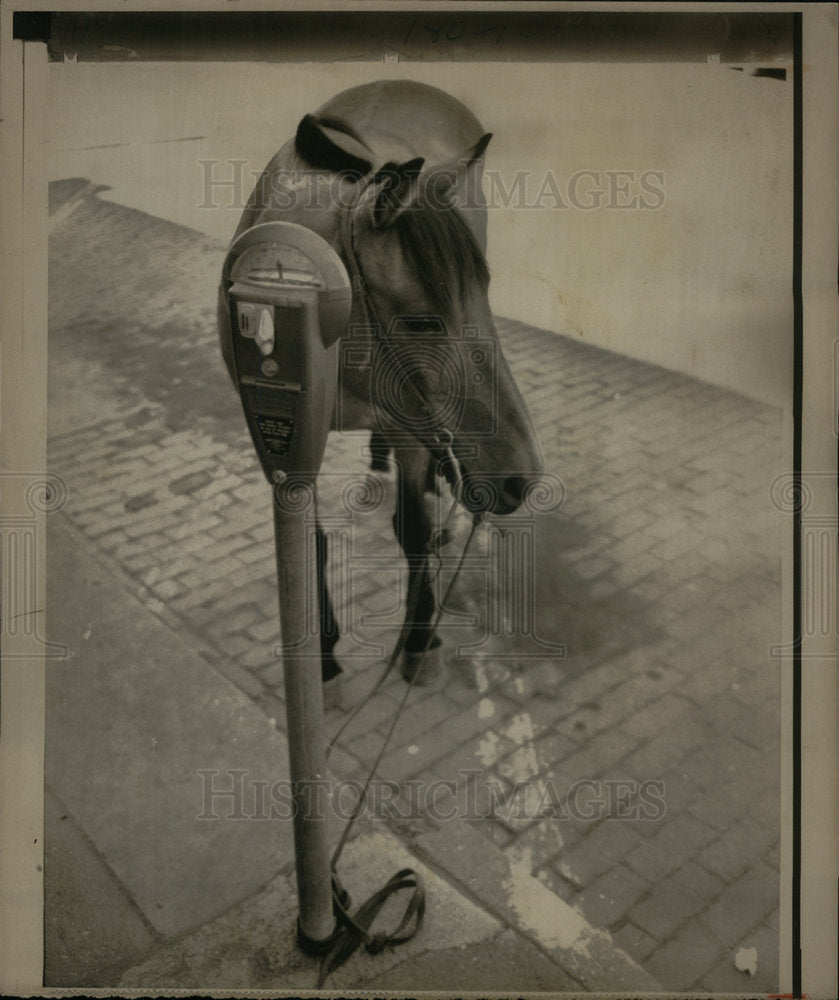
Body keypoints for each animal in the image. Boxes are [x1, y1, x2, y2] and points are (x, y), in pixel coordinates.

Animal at [218, 80, 544, 688]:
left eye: (485, 293)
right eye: (421, 322)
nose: (523, 477)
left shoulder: (412, 422)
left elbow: (411, 529)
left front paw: (418, 639)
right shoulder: (291, 438)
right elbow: (311, 541)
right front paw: (322, 654)